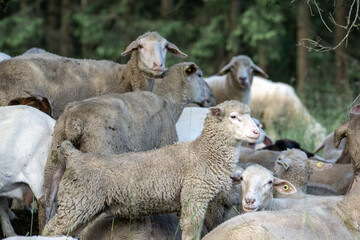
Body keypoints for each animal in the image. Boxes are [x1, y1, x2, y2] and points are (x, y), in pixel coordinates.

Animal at [38, 62, 208, 232]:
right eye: (199, 75)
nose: (210, 98)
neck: (170, 102)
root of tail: (74, 120)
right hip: (98, 158)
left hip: (56, 153)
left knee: (46, 199)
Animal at [43, 101, 262, 240]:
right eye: (233, 116)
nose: (256, 132)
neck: (205, 153)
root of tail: (74, 156)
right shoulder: (195, 197)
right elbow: (191, 231)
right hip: (76, 202)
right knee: (50, 230)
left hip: (81, 206)